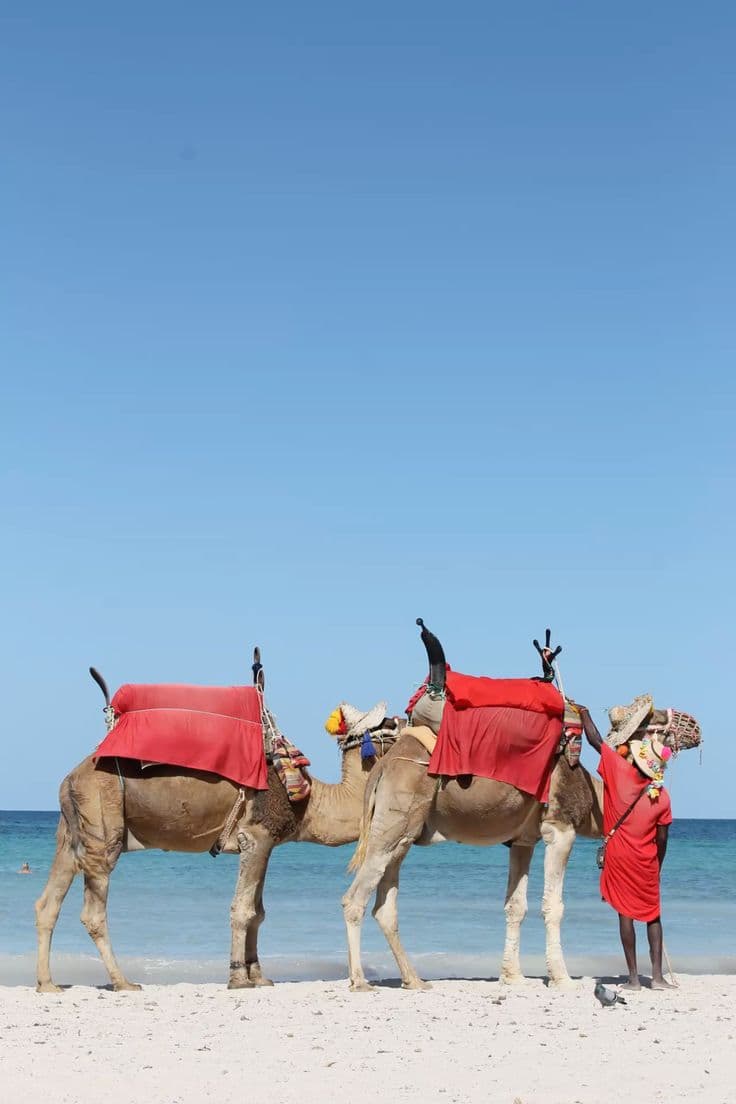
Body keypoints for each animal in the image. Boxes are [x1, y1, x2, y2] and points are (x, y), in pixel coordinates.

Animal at [35, 660, 400, 993]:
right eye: (388, 724)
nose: (406, 724)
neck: (310, 801)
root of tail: (71, 777)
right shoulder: (256, 836)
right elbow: (242, 909)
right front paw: (238, 978)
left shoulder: (265, 844)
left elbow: (258, 911)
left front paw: (260, 977)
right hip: (102, 823)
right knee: (93, 911)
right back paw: (123, 982)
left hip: (69, 832)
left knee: (47, 904)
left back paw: (47, 984)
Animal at [342, 623, 699, 992]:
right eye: (655, 719)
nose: (693, 725)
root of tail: (383, 768)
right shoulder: (560, 828)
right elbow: (552, 906)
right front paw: (561, 978)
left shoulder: (523, 840)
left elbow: (515, 906)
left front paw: (512, 976)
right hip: (395, 819)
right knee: (354, 898)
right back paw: (360, 981)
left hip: (404, 834)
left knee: (385, 904)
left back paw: (414, 980)